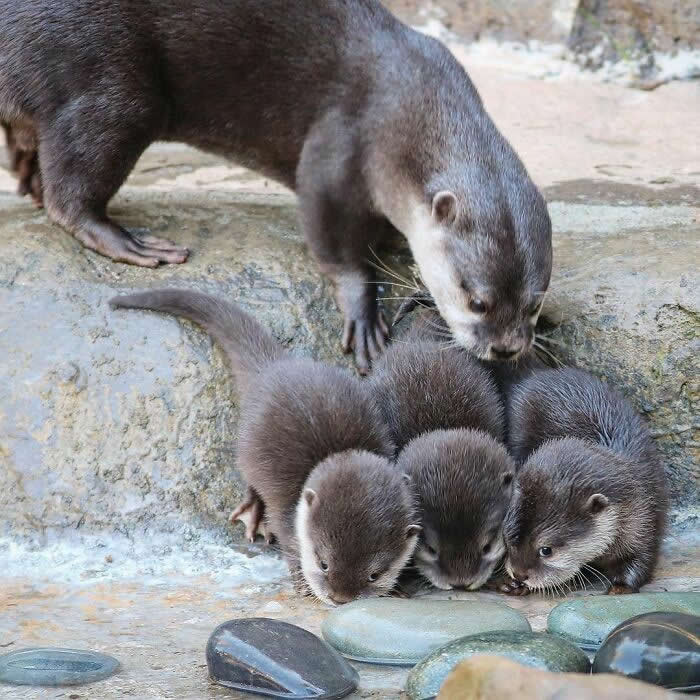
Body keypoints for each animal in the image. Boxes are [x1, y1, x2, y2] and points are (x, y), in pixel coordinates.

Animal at [2, 0, 552, 372]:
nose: (506, 347)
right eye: (476, 301)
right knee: (74, 182)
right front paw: (363, 312)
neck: (406, 110)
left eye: (534, 304)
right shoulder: (340, 146)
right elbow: (333, 239)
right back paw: (126, 240)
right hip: (108, 80)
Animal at [110, 288, 420, 605]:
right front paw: (301, 584)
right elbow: (289, 543)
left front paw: (399, 588)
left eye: (374, 574)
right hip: (248, 443)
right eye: (323, 563)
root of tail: (273, 366)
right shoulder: (287, 516)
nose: (338, 598)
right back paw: (254, 513)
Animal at [502, 367, 668, 595]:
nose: (519, 575)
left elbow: (643, 557)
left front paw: (620, 587)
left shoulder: (645, 517)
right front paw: (514, 584)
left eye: (546, 550)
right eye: (507, 537)